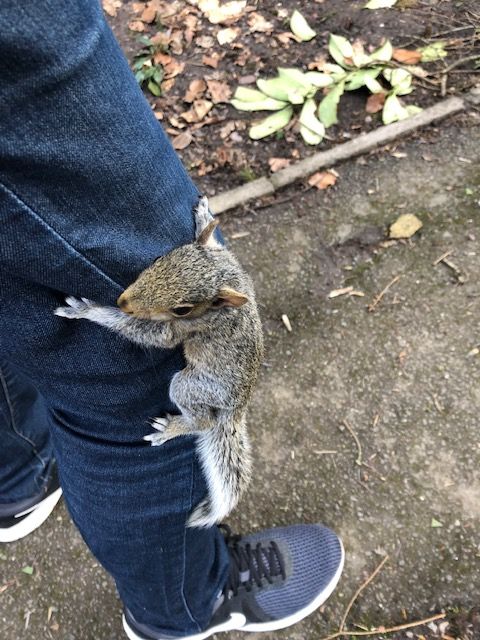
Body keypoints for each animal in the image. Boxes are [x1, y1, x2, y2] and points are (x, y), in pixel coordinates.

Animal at [55, 196, 264, 528]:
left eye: (182, 309)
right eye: (159, 259)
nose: (123, 302)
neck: (225, 276)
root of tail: (237, 407)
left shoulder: (184, 328)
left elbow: (153, 336)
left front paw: (89, 311)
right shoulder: (226, 258)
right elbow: (213, 241)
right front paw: (204, 219)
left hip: (194, 386)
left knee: (203, 420)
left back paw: (172, 427)